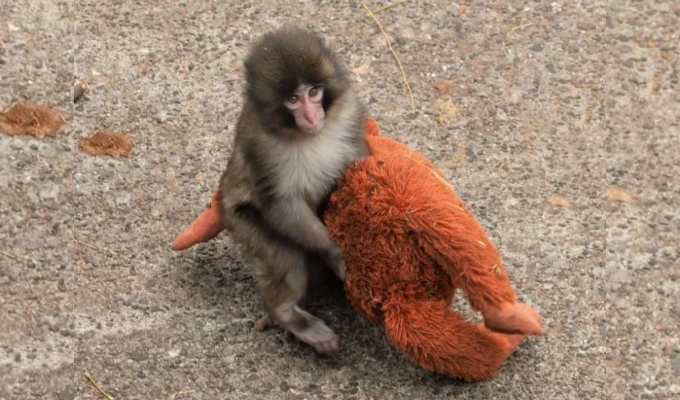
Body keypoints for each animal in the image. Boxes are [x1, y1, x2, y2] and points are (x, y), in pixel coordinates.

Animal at [218, 26, 370, 354]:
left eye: (313, 93)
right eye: (292, 99)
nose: (312, 117)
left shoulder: (350, 111)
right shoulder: (261, 145)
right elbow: (280, 203)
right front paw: (333, 251)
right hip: (240, 222)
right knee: (285, 259)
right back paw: (286, 314)